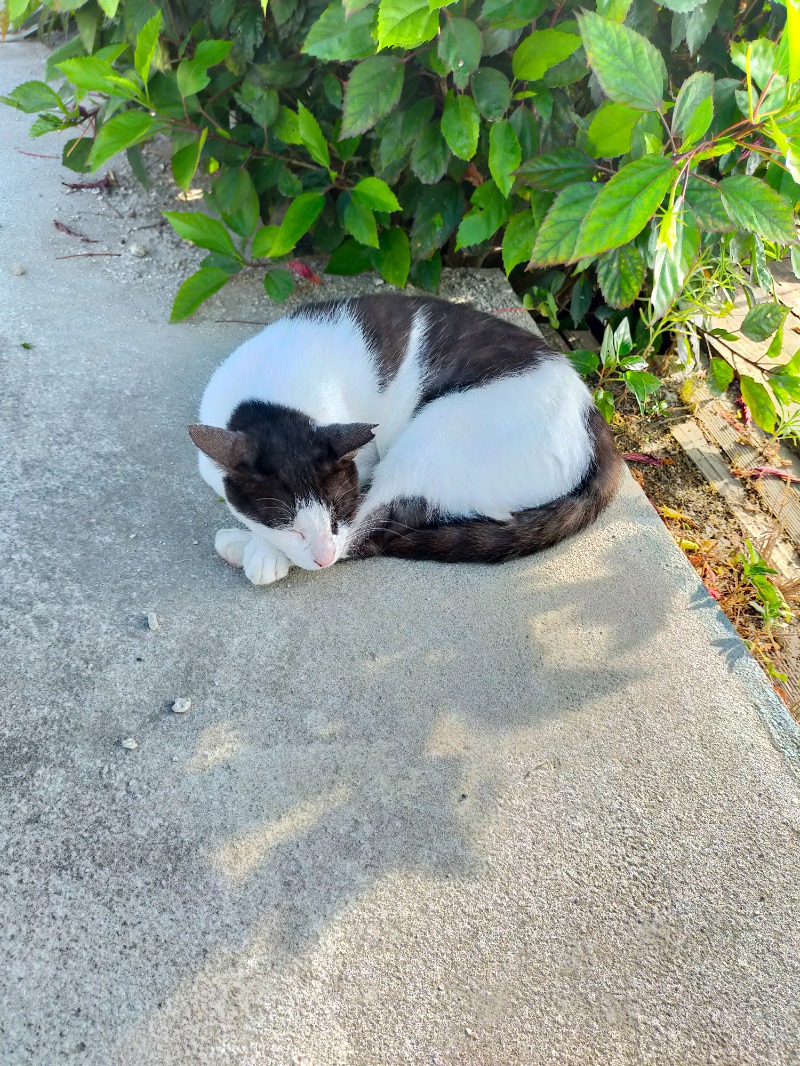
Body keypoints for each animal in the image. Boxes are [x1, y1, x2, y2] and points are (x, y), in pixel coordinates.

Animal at [189, 296, 627, 588]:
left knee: (375, 528)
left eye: (334, 516)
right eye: (291, 528)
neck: (272, 393)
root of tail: (592, 413)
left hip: (438, 436)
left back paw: (243, 549)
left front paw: (265, 549)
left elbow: (353, 525)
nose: (322, 557)